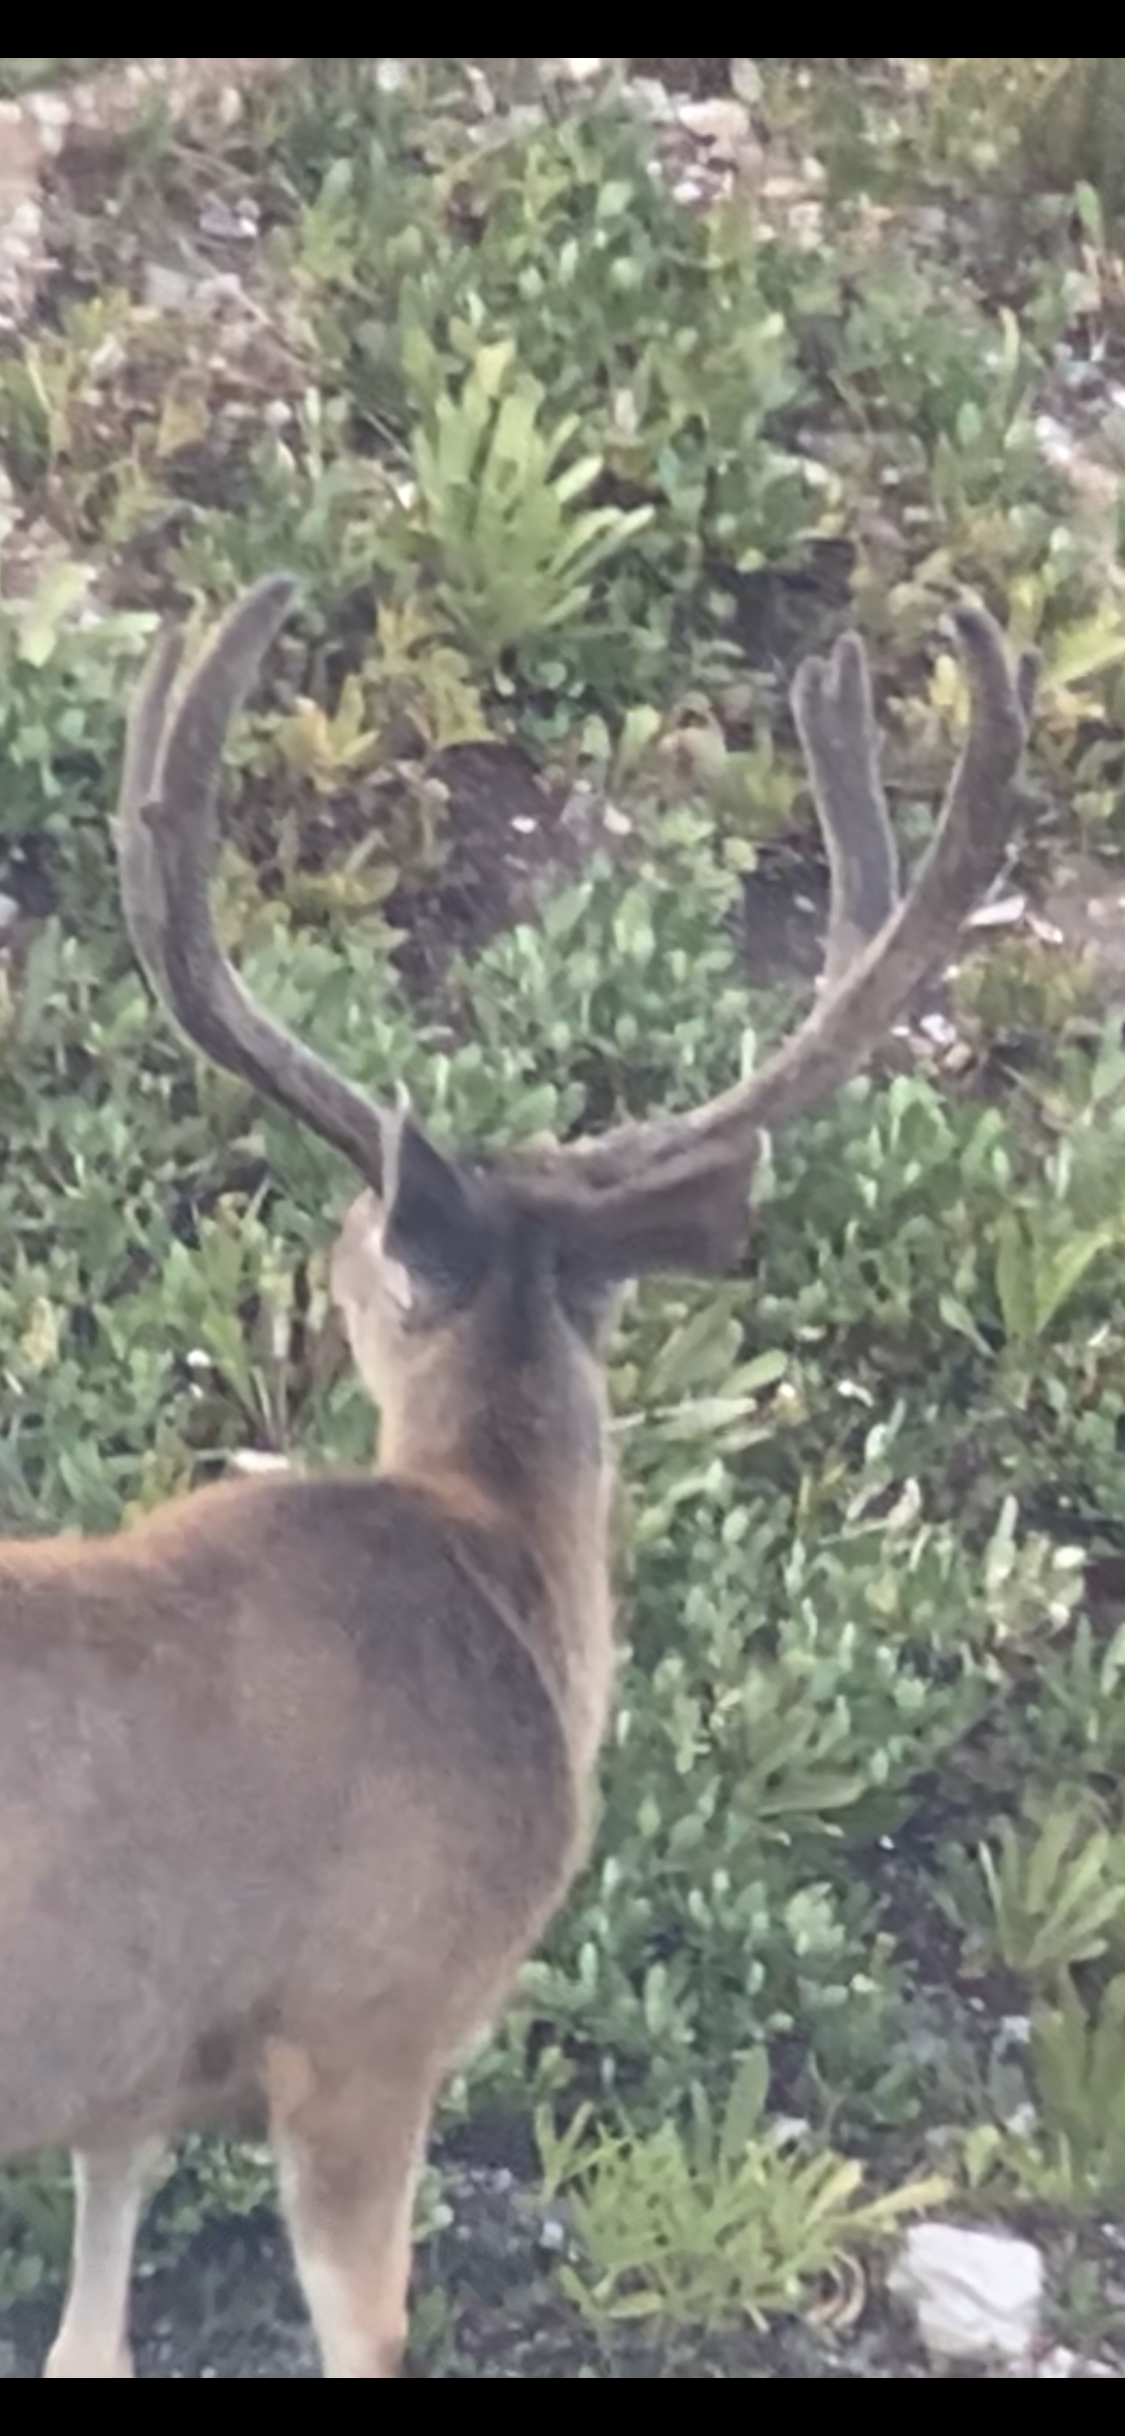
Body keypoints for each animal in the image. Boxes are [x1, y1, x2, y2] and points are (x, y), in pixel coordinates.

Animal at [0, 575, 1039, 2379]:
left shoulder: (139, 2071)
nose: (330, 1251)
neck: (498, 1563)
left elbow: (92, 2322)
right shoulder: (373, 2020)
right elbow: (367, 2340)